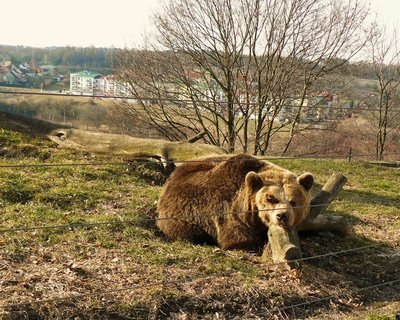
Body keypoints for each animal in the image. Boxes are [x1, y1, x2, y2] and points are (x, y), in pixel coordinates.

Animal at [155, 154, 312, 251]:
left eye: (293, 201)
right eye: (270, 198)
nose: (282, 216)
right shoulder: (228, 209)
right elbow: (237, 239)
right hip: (182, 214)